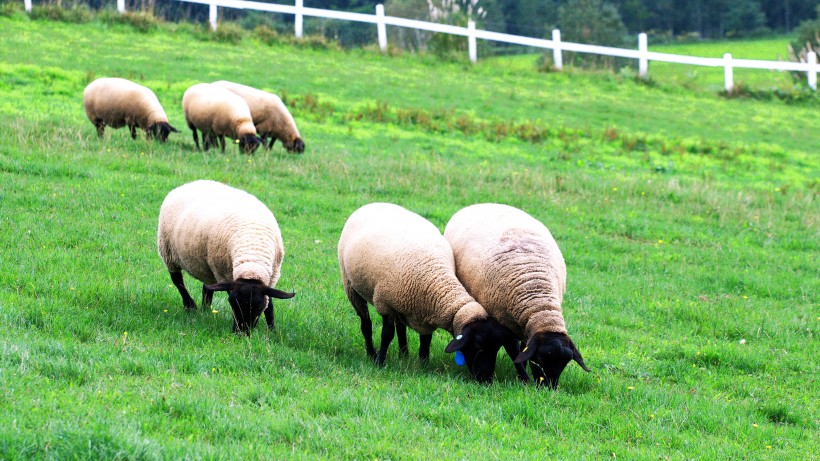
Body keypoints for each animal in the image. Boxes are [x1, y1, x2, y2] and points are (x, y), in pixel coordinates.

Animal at [157, 178, 294, 332]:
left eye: (258, 307)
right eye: (233, 304)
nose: (241, 333)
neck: (252, 258)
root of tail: (191, 183)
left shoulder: (270, 278)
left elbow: (269, 305)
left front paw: (272, 330)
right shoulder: (225, 274)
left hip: (208, 265)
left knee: (207, 286)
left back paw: (206, 311)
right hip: (168, 252)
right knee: (178, 281)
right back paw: (190, 306)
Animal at [336, 203, 528, 382]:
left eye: (497, 348)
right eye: (478, 346)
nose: (486, 379)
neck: (435, 279)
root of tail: (374, 204)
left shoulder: (423, 311)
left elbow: (425, 342)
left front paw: (423, 365)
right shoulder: (385, 303)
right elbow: (386, 335)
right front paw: (380, 362)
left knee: (400, 326)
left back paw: (404, 354)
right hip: (350, 285)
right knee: (366, 324)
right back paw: (371, 353)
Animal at [442, 203, 588, 386]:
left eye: (565, 362)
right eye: (540, 358)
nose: (548, 388)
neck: (538, 299)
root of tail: (481, 204)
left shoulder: (526, 326)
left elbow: (523, 348)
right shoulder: (503, 325)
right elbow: (514, 353)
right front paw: (524, 378)